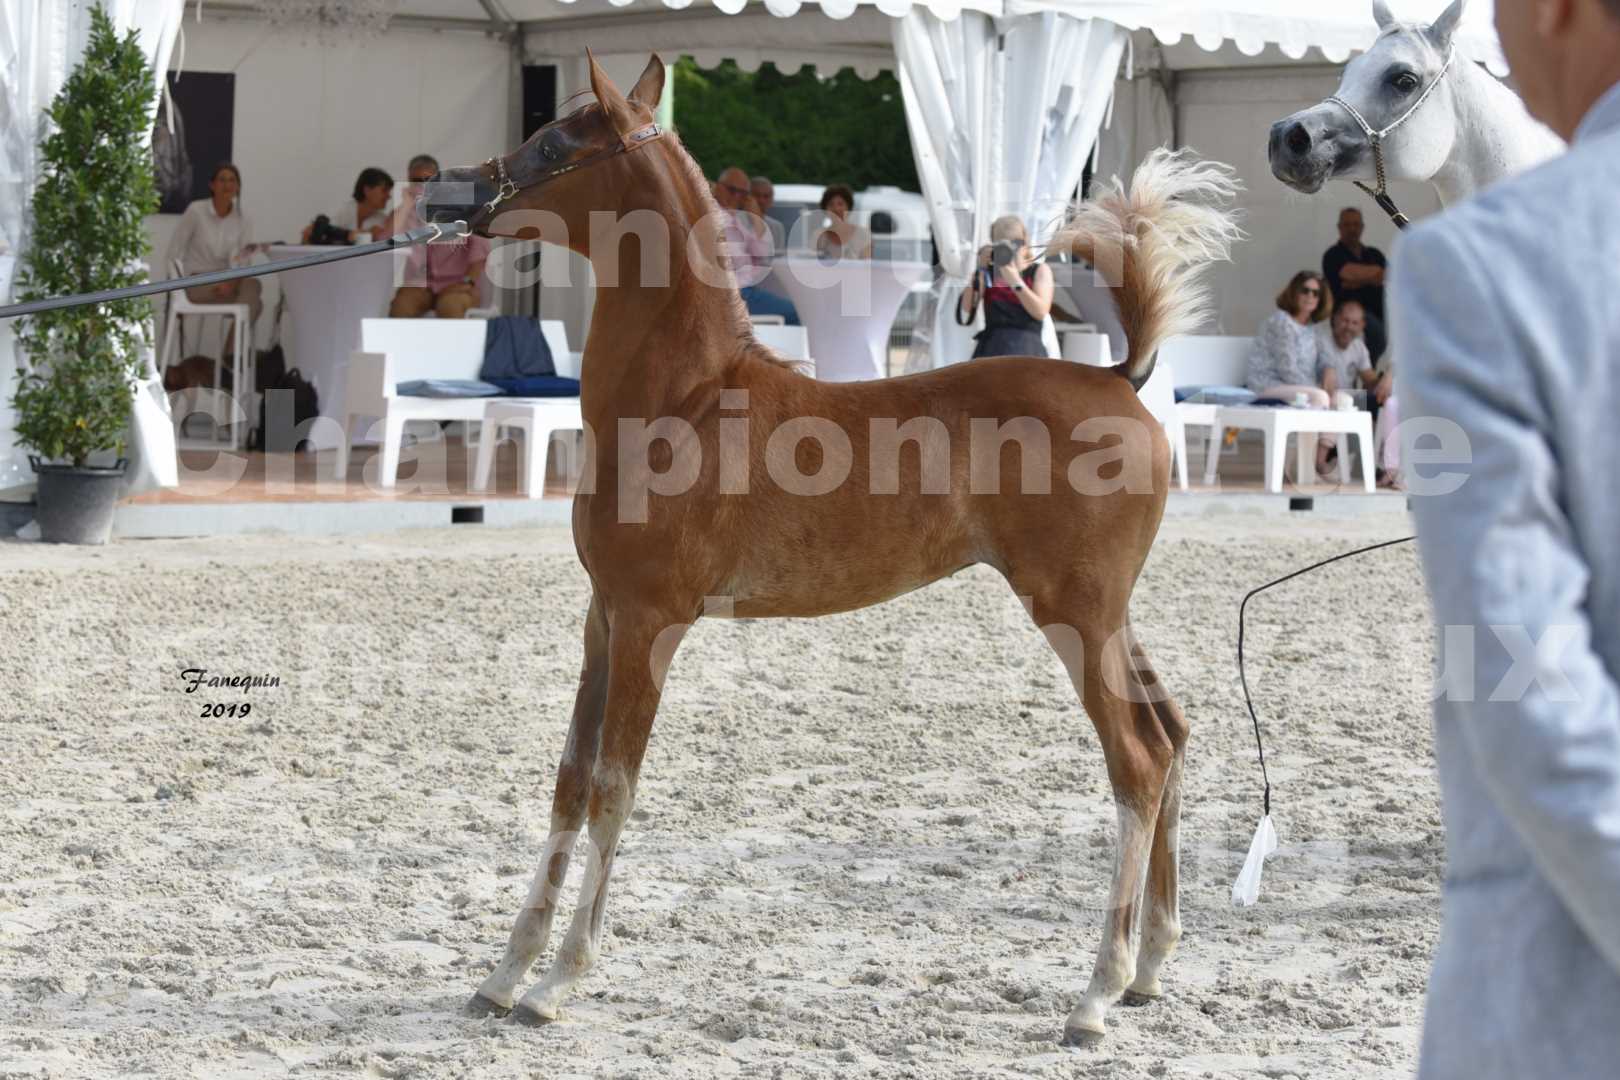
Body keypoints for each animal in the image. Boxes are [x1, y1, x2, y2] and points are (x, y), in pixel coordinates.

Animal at [430, 52, 1237, 1049]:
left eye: (551, 144)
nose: (449, 191)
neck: (686, 399)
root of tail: (1121, 377)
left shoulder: (654, 622)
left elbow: (616, 786)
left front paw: (558, 981)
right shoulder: (603, 618)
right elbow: (571, 783)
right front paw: (505, 973)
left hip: (1074, 615)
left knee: (1137, 762)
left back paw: (1096, 993)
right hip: (1107, 615)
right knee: (1171, 731)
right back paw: (1151, 967)